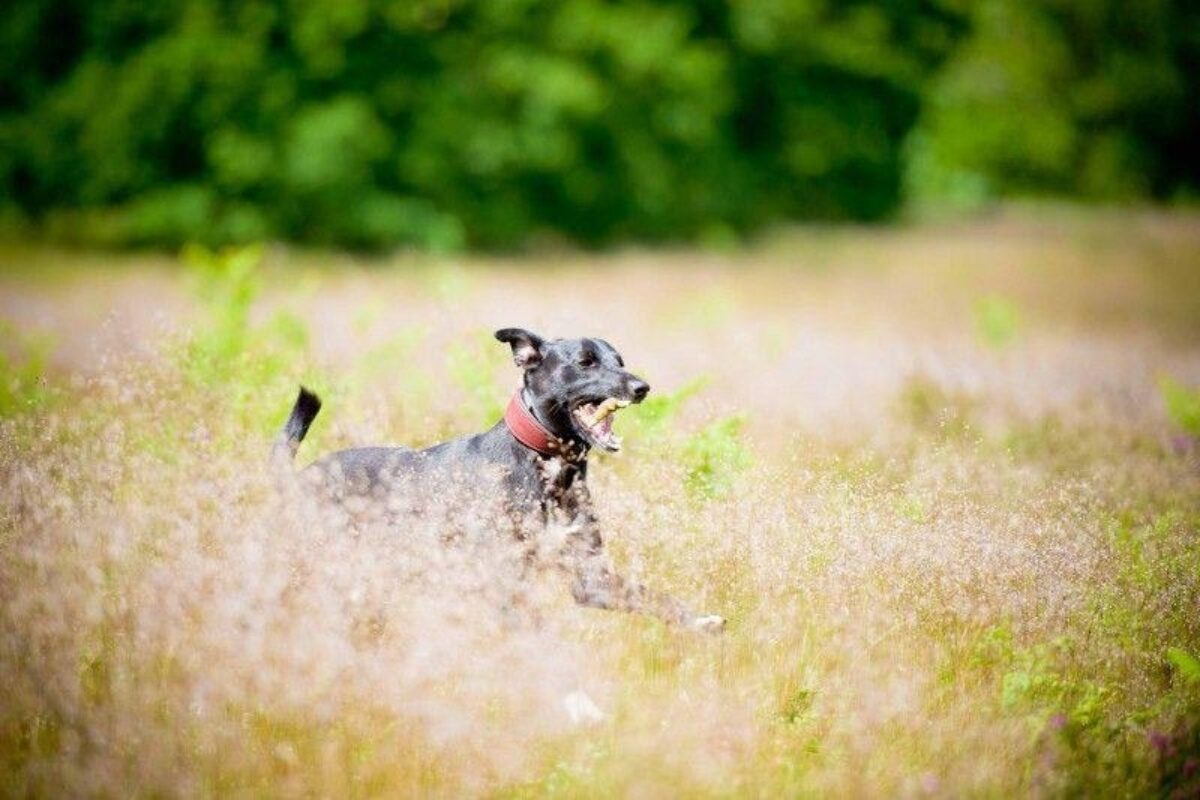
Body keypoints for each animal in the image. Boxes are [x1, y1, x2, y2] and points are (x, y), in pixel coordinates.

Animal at [274, 328, 720, 633]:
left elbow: (654, 597)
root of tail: (298, 478)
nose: (642, 387)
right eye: (586, 362)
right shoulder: (501, 580)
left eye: (620, 360)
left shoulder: (591, 578)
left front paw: (700, 621)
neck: (551, 469)